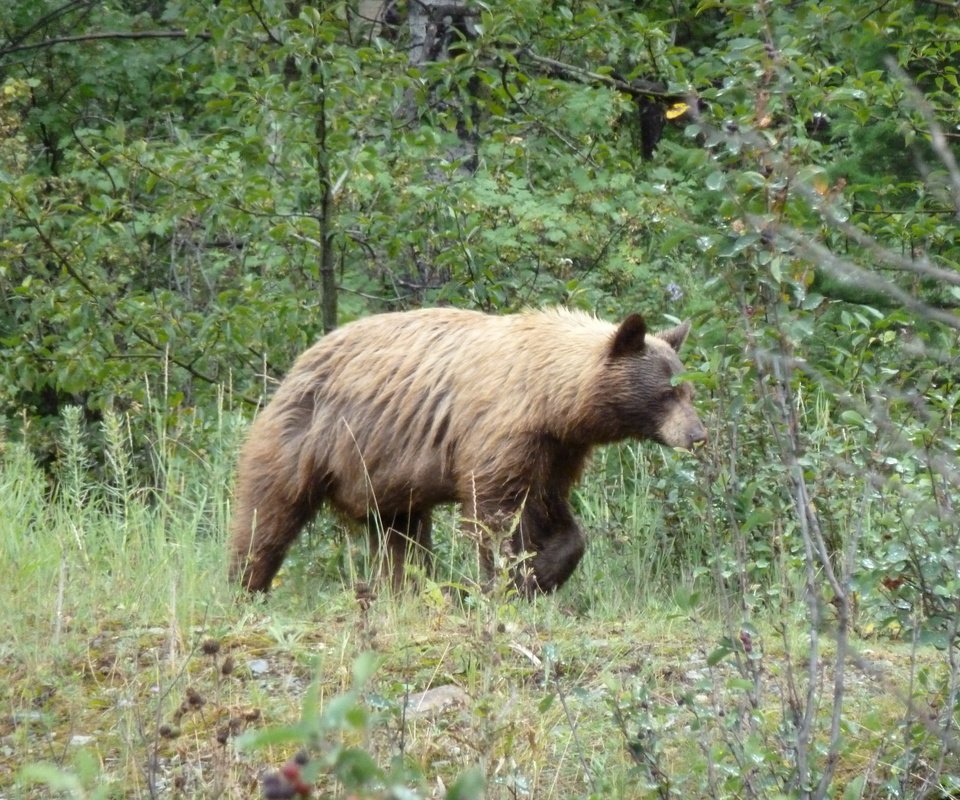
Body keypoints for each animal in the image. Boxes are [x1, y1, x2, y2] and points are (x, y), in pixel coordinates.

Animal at [227, 306, 704, 592]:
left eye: (690, 391)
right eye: (667, 393)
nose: (698, 435)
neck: (550, 397)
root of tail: (300, 360)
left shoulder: (557, 449)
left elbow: (552, 509)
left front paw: (543, 572)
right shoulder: (501, 432)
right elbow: (495, 514)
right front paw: (506, 581)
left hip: (385, 474)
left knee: (398, 537)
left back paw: (407, 588)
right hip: (307, 437)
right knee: (267, 514)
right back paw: (246, 584)